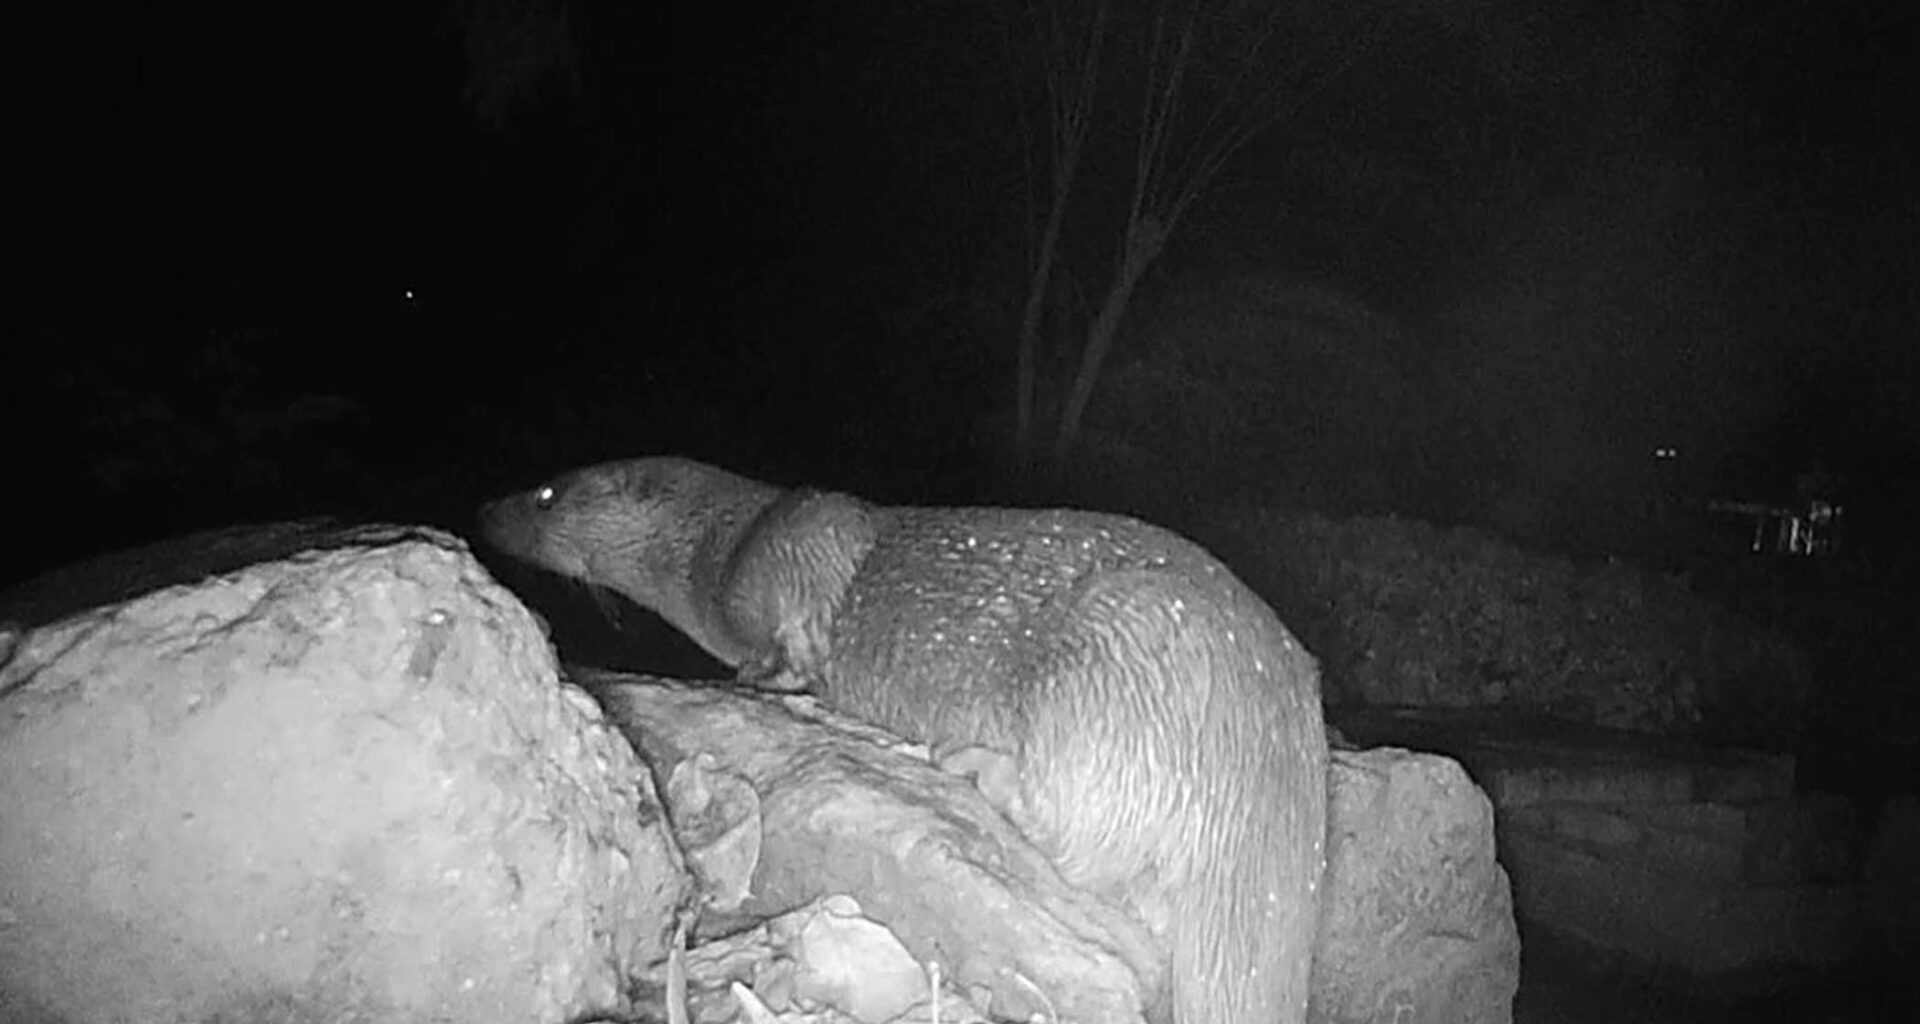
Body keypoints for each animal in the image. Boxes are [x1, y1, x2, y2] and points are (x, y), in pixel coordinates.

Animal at [480, 456, 1327, 1024]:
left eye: (547, 493)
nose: (487, 507)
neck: (718, 549)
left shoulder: (785, 557)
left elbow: (791, 641)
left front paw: (767, 677)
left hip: (1112, 663)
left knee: (1079, 832)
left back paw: (971, 765)